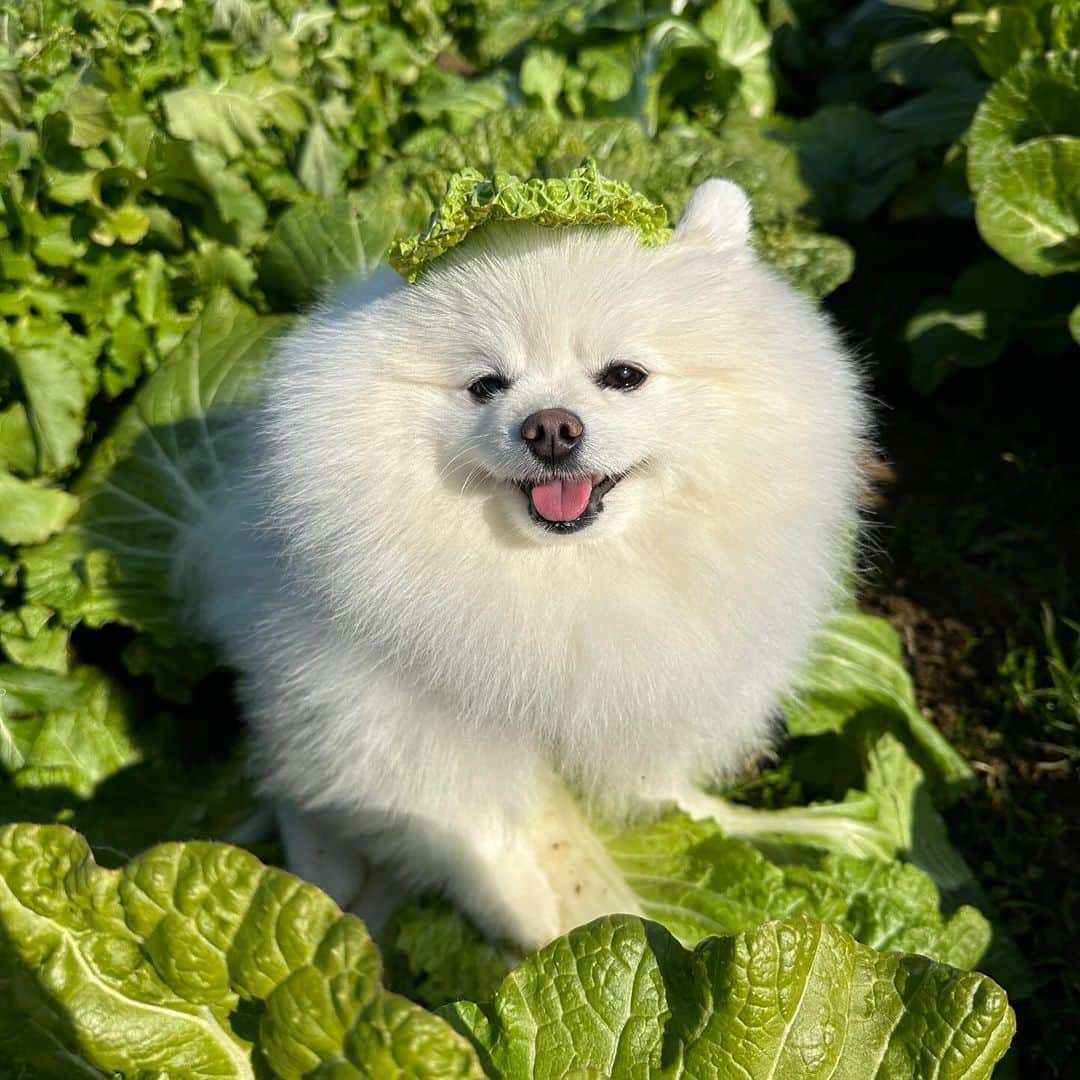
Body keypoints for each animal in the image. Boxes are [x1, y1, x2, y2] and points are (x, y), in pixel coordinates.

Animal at [192, 181, 868, 950]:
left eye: (624, 376)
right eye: (487, 385)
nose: (550, 427)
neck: (562, 575)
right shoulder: (395, 713)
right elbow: (471, 824)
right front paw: (531, 916)